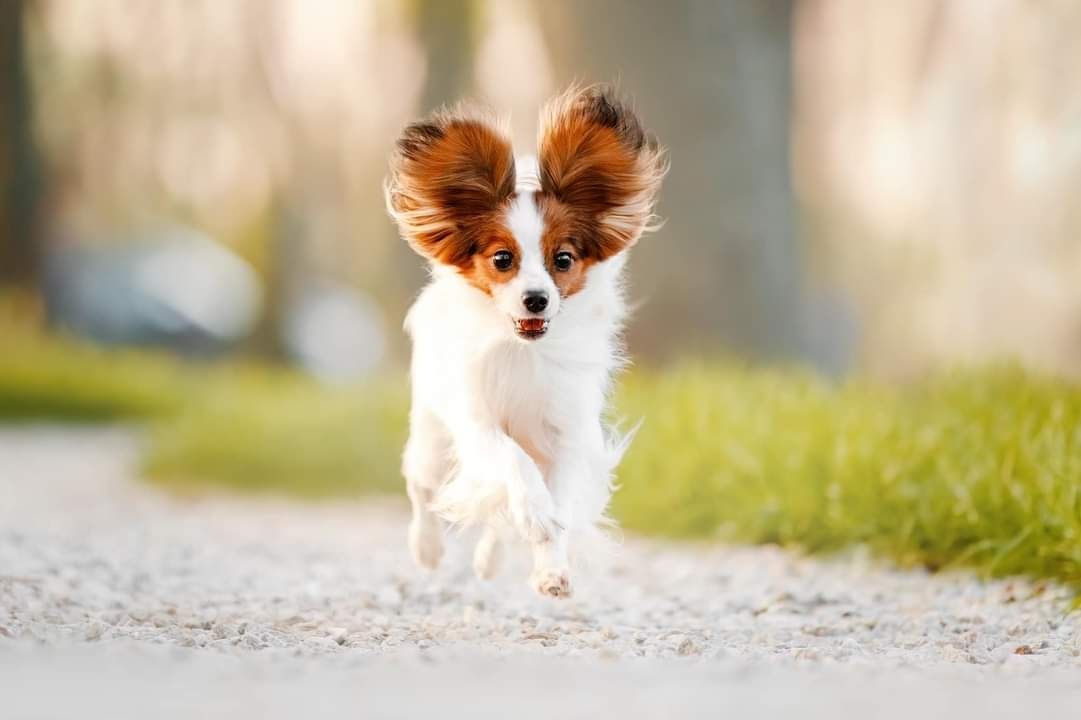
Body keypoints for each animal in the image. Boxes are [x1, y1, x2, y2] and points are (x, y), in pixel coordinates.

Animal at [384, 84, 661, 592]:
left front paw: (552, 567)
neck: (523, 353)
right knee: (422, 485)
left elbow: (558, 509)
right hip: (432, 432)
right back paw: (427, 547)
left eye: (563, 259)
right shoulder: (477, 421)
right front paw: (534, 510)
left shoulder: (566, 432)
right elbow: (512, 462)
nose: (536, 299)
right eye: (502, 259)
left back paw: (491, 559)